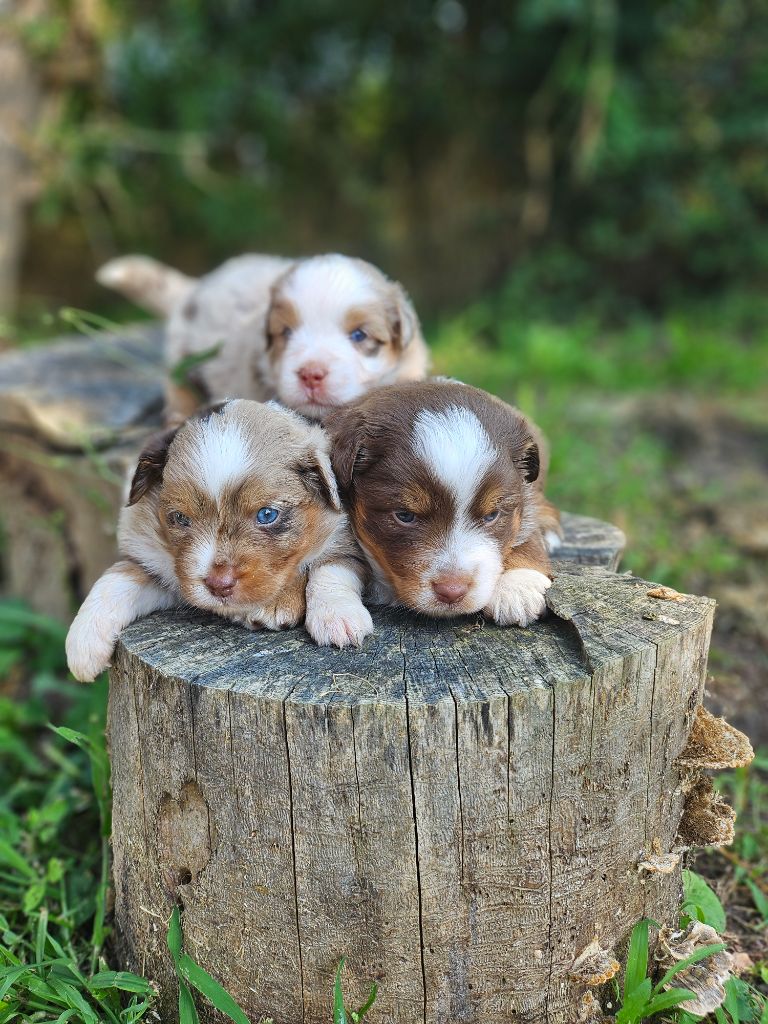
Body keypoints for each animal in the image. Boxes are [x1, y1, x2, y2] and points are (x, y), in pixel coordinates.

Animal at [67, 399, 374, 679]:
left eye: (267, 514)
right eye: (180, 518)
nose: (218, 585)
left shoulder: (347, 540)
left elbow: (331, 568)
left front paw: (338, 618)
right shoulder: (156, 561)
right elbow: (116, 579)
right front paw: (83, 643)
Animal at [325, 380, 565, 622]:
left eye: (492, 515)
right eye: (405, 516)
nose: (452, 591)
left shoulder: (524, 498)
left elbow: (527, 534)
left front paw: (517, 587)